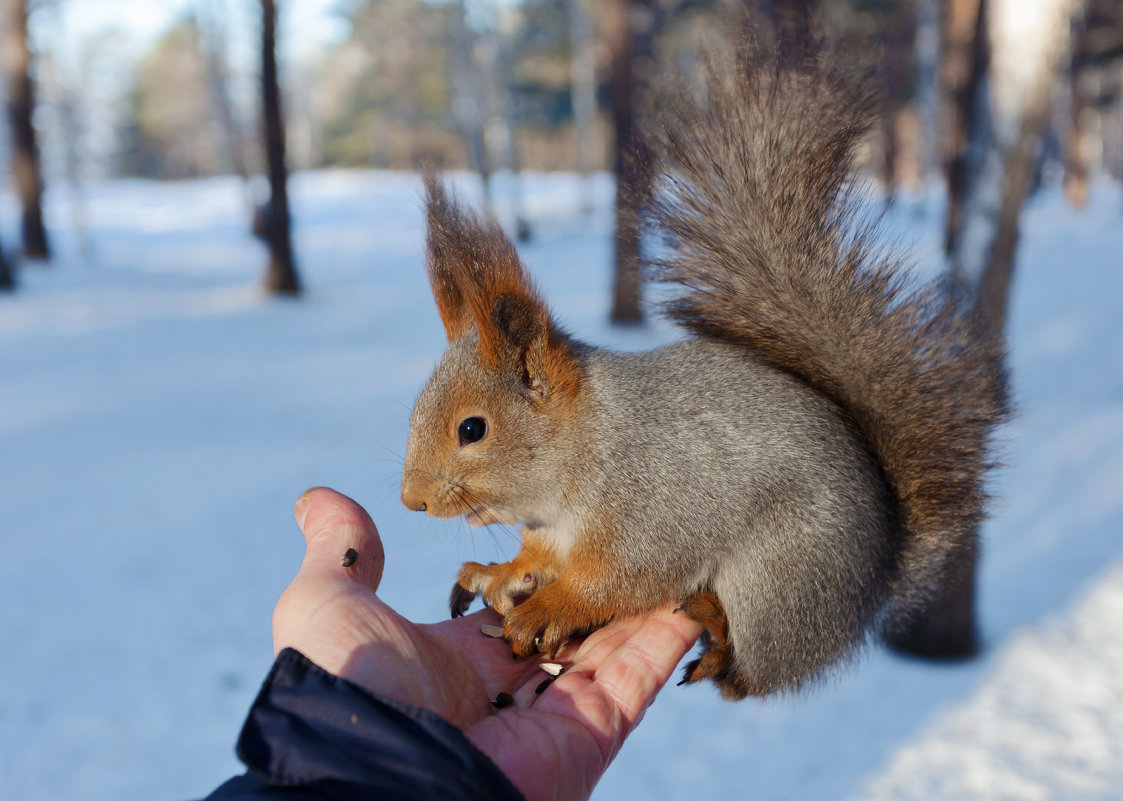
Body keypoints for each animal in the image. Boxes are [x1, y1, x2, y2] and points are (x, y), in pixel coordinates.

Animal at [397, 39, 1010, 701]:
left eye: (473, 429)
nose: (411, 502)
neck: (583, 451)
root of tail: (869, 591)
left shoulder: (651, 511)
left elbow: (619, 580)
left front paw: (547, 609)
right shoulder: (552, 531)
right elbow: (536, 559)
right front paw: (498, 573)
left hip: (776, 579)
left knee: (744, 677)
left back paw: (714, 625)